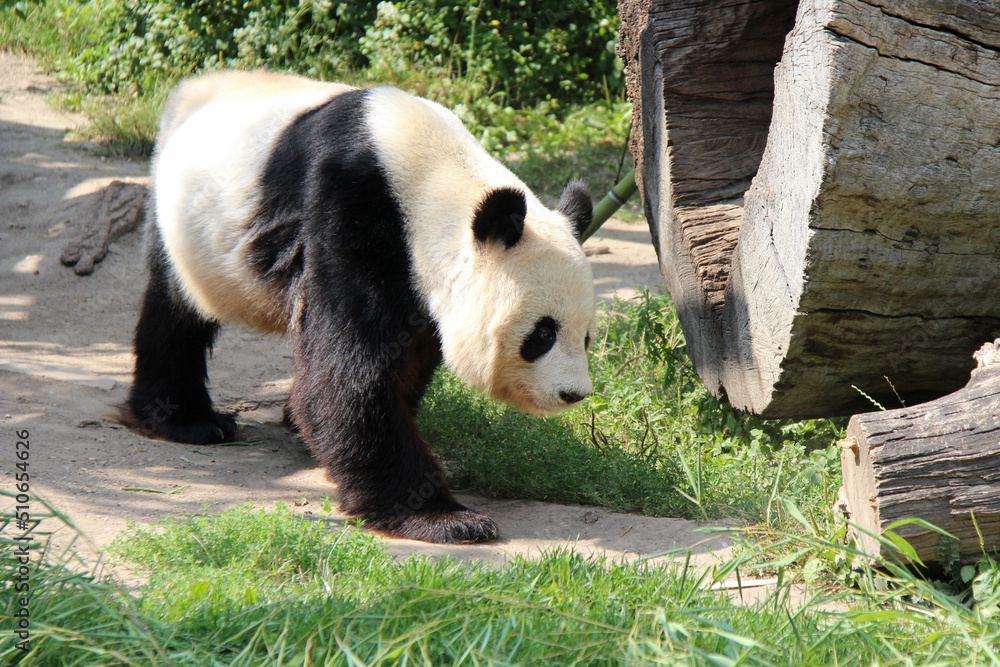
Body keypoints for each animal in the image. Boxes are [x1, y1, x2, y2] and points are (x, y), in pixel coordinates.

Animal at [121, 70, 596, 544]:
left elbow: (405, 358)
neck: (433, 176)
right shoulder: (349, 207)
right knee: (175, 313)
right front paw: (442, 517)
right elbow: (350, 367)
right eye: (543, 333)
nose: (573, 394)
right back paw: (189, 420)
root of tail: (191, 88)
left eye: (586, 337)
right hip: (185, 224)